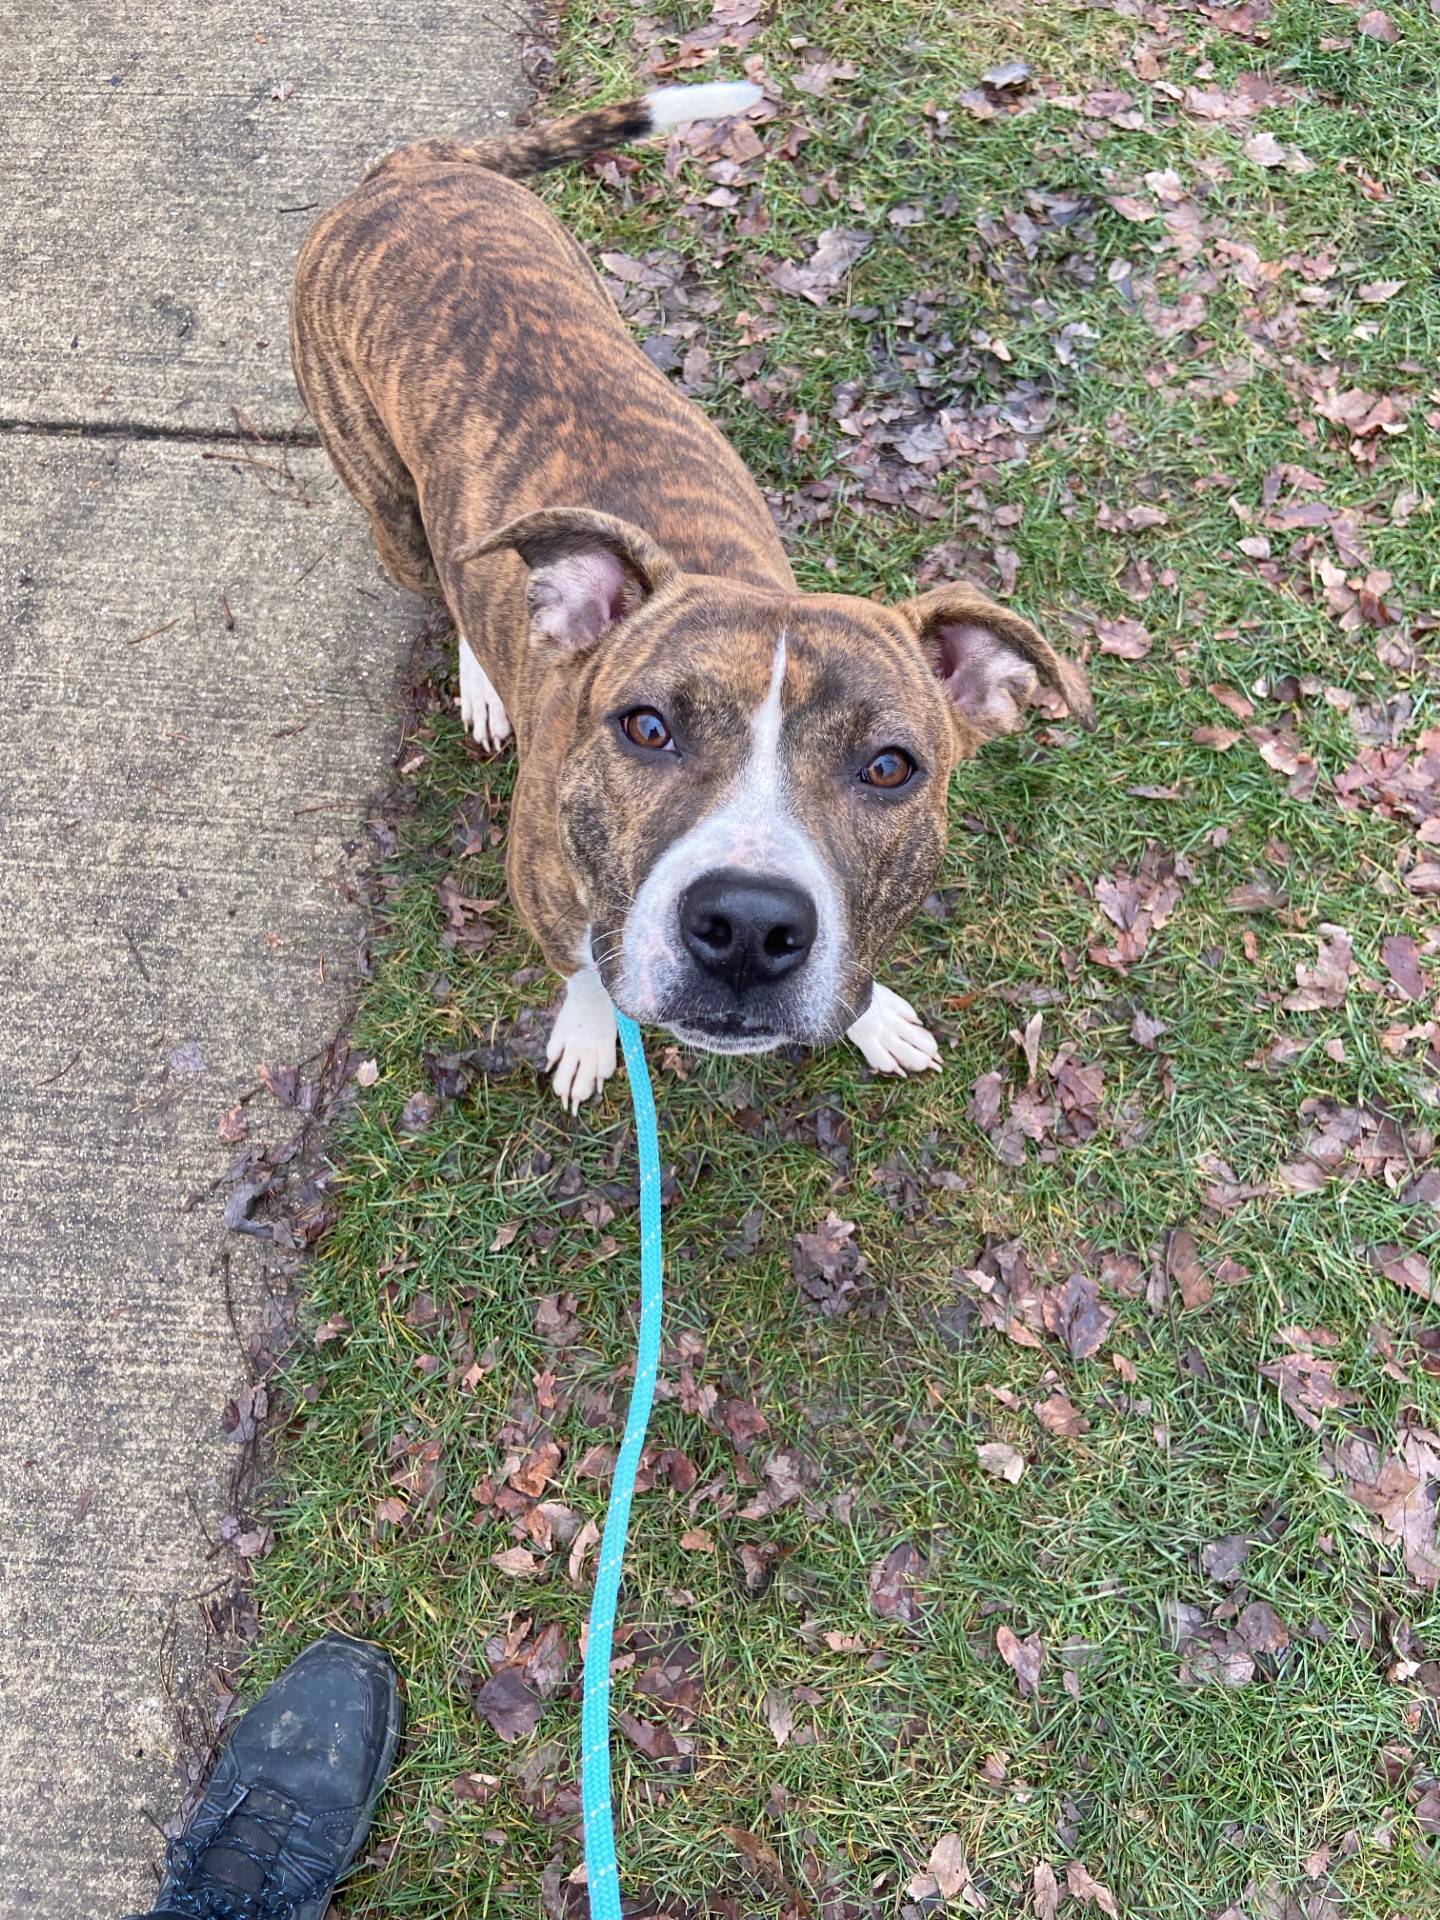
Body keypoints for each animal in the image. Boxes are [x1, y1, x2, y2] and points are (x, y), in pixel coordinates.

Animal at [289, 82, 1090, 1113]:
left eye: (889, 767)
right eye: (646, 728)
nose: (748, 926)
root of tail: (405, 172)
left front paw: (873, 1017)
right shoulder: (547, 892)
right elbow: (587, 971)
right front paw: (590, 1036)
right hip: (387, 503)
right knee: (447, 583)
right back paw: (482, 681)